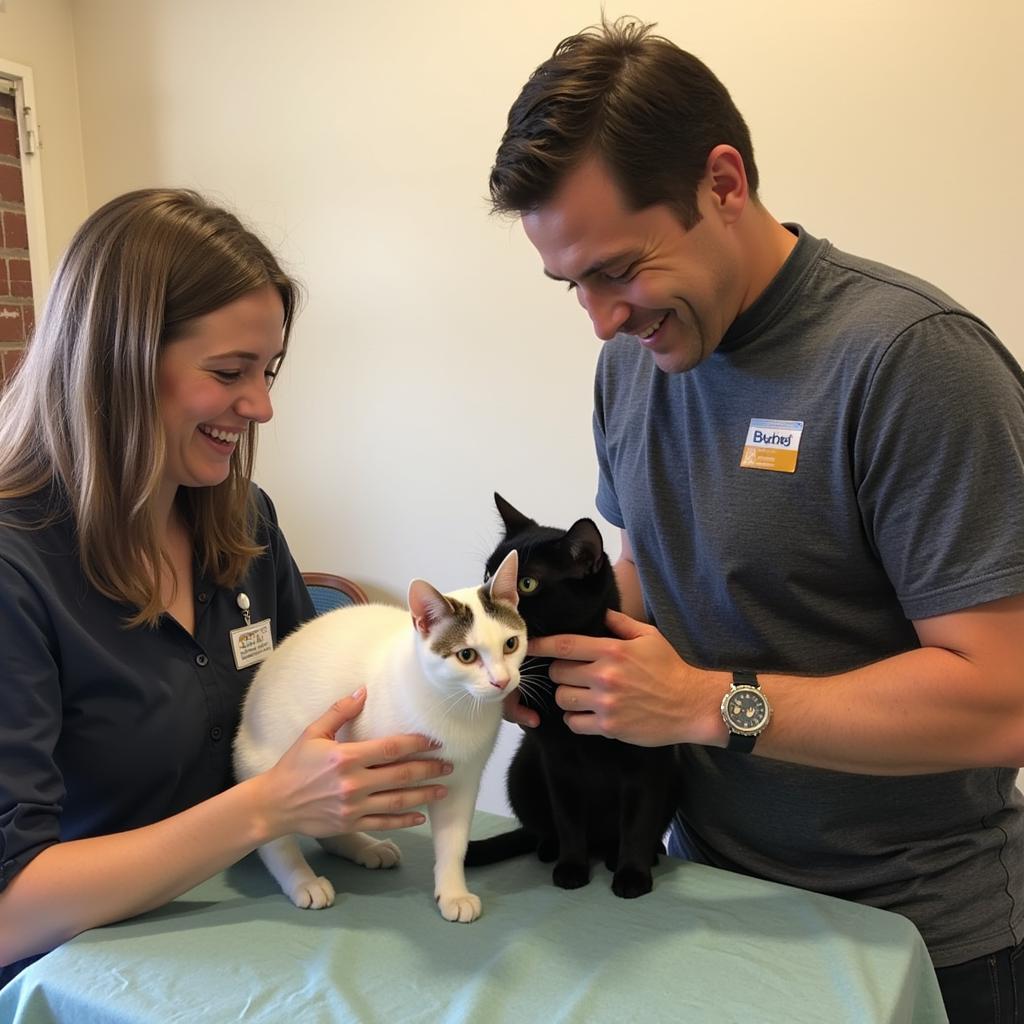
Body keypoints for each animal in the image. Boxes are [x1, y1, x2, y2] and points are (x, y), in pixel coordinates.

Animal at [234, 552, 524, 929]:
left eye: (511, 644)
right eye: (466, 655)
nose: (501, 681)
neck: (457, 707)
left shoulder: (462, 783)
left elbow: (454, 843)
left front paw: (453, 891)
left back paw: (365, 847)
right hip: (269, 766)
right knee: (278, 842)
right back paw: (302, 880)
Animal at [466, 491, 679, 901]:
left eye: (527, 583)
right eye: (487, 574)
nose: (484, 600)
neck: (554, 671)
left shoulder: (646, 763)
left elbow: (638, 822)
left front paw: (632, 874)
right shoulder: (556, 760)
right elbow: (568, 820)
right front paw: (572, 868)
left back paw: (629, 855)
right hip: (522, 770)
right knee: (543, 828)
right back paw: (550, 849)